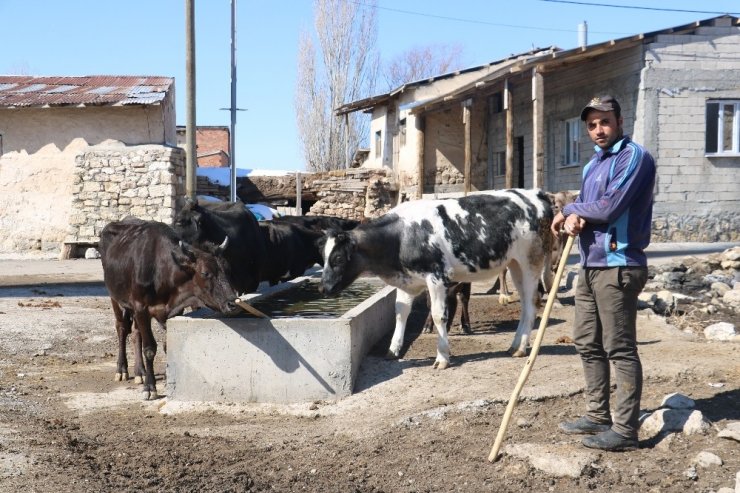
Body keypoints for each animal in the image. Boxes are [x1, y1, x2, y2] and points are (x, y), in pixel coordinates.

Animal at [99, 217, 237, 398]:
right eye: (205, 273)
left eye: (226, 270)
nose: (232, 302)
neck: (161, 269)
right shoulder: (141, 307)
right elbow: (150, 348)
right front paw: (150, 387)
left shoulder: (173, 310)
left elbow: (166, 345)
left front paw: (167, 377)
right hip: (115, 297)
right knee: (122, 328)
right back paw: (122, 369)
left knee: (136, 333)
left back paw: (140, 371)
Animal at [320, 190, 552, 368]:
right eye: (323, 256)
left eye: (338, 258)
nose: (323, 288)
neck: (401, 236)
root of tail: (538, 194)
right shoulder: (407, 280)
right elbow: (400, 312)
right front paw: (393, 350)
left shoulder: (437, 277)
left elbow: (439, 314)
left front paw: (442, 357)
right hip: (514, 264)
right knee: (525, 303)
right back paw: (515, 345)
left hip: (531, 261)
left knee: (532, 302)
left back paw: (520, 348)